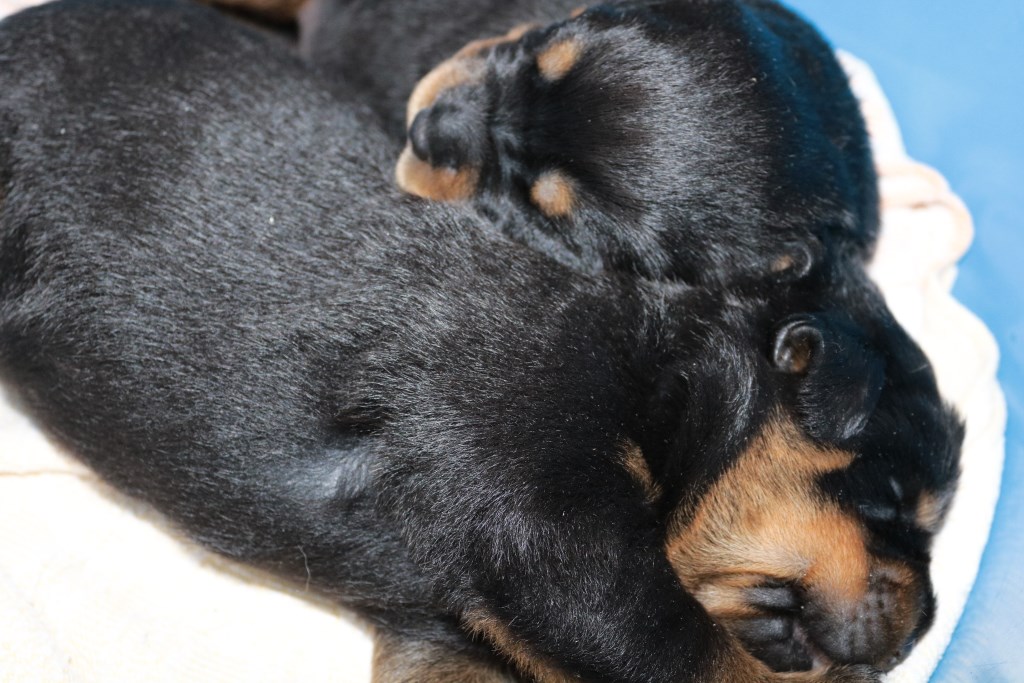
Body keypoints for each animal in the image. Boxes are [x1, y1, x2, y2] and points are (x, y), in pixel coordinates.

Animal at [0, 1, 961, 681]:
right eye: (896, 503)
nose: (925, 626)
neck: (682, 369)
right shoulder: (558, 533)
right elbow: (697, 655)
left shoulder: (443, 633)